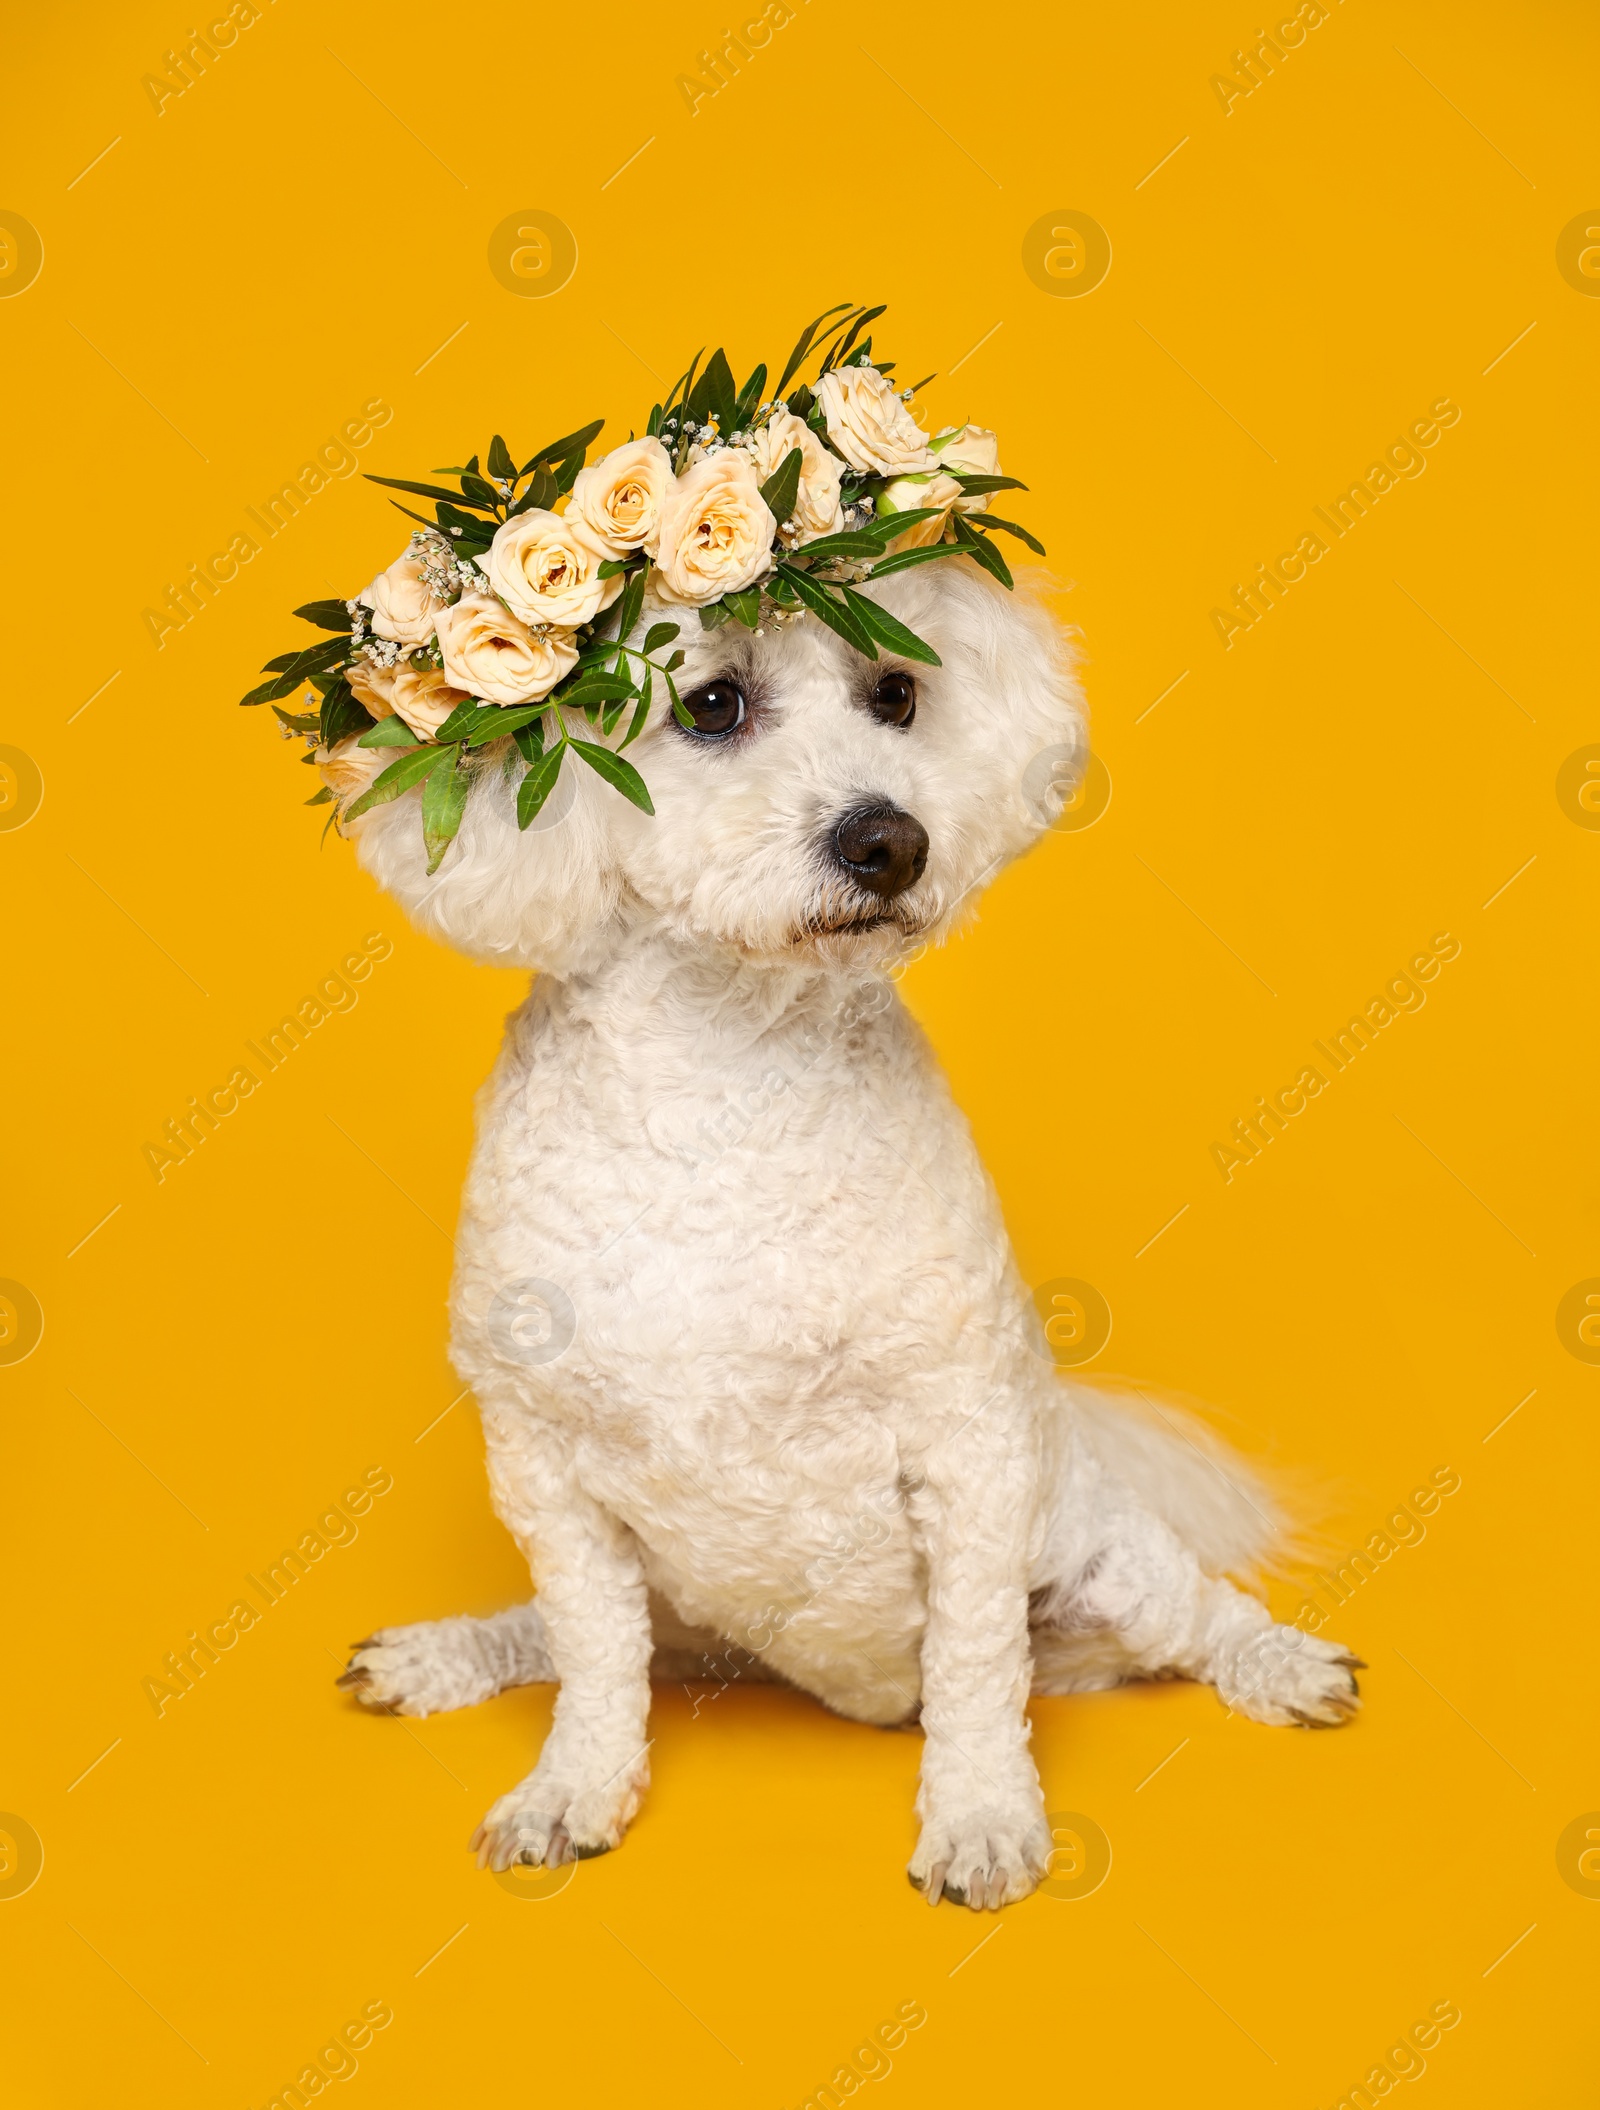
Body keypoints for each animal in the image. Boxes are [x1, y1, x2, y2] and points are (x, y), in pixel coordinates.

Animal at [331, 561, 1359, 1915]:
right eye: (711, 704)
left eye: (896, 693)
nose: (891, 839)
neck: (723, 1079)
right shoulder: (543, 1467)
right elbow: (595, 1660)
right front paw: (570, 1790)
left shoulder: (968, 1439)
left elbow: (975, 1666)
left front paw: (980, 1817)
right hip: (677, 1593)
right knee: (569, 1636)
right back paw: (444, 1652)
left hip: (1093, 1547)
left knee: (1193, 1615)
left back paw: (1280, 1663)